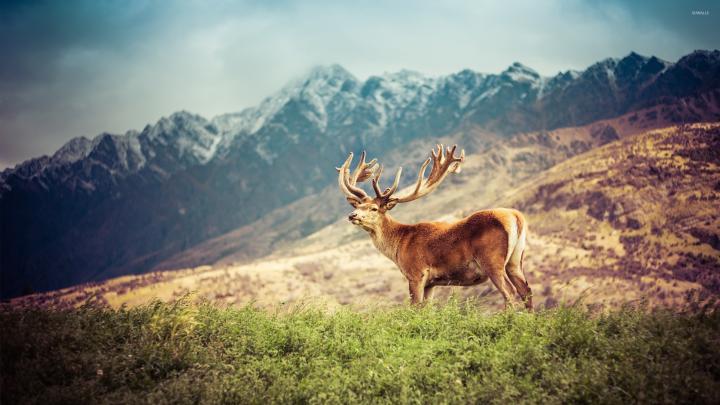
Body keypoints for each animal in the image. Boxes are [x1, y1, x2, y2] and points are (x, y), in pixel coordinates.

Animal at [337, 144, 532, 310]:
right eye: (358, 206)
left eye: (374, 208)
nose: (352, 216)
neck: (399, 244)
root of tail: (517, 217)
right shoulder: (431, 283)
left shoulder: (416, 273)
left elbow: (415, 308)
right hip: (515, 259)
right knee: (526, 291)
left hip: (492, 260)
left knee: (510, 292)